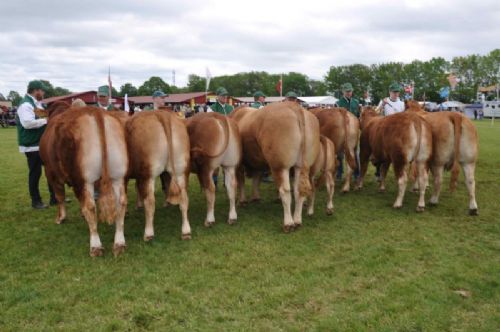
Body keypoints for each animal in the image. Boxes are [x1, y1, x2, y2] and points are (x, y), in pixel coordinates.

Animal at [40, 102, 128, 258]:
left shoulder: (50, 172)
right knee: (121, 203)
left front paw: (61, 218)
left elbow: (59, 196)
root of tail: (97, 112)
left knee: (90, 206)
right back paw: (119, 244)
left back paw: (95, 246)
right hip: (118, 175)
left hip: (84, 179)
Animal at [126, 111, 192, 241]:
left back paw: (148, 233)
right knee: (184, 198)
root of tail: (161, 114)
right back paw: (186, 231)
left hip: (148, 174)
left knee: (150, 202)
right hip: (180, 169)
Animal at [230, 102, 320, 232]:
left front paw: (242, 200)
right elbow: (256, 178)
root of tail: (294, 106)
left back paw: (288, 223)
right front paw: (255, 197)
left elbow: (241, 181)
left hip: (280, 165)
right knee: (299, 190)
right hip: (302, 164)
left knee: (285, 191)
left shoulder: (239, 164)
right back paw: (297, 220)